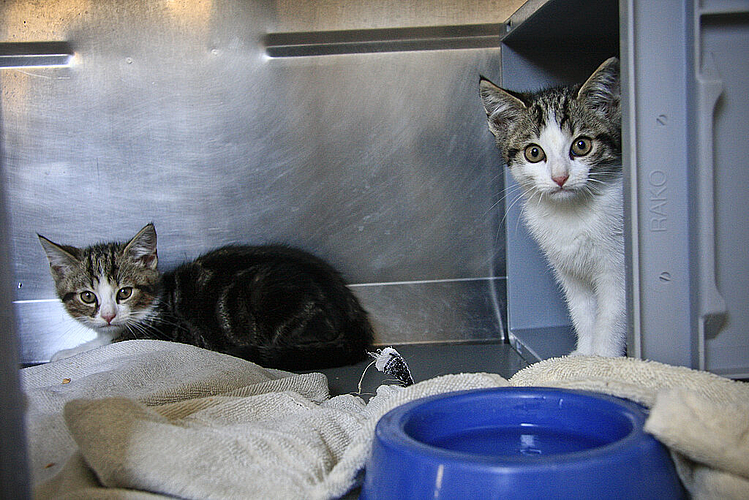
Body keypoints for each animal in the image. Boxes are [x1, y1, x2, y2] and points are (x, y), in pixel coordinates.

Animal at [480, 57, 624, 356]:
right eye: (534, 152)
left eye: (581, 145)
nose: (560, 177)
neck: (571, 213)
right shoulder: (568, 270)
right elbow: (582, 309)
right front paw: (583, 354)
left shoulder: (617, 267)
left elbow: (612, 314)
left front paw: (604, 359)